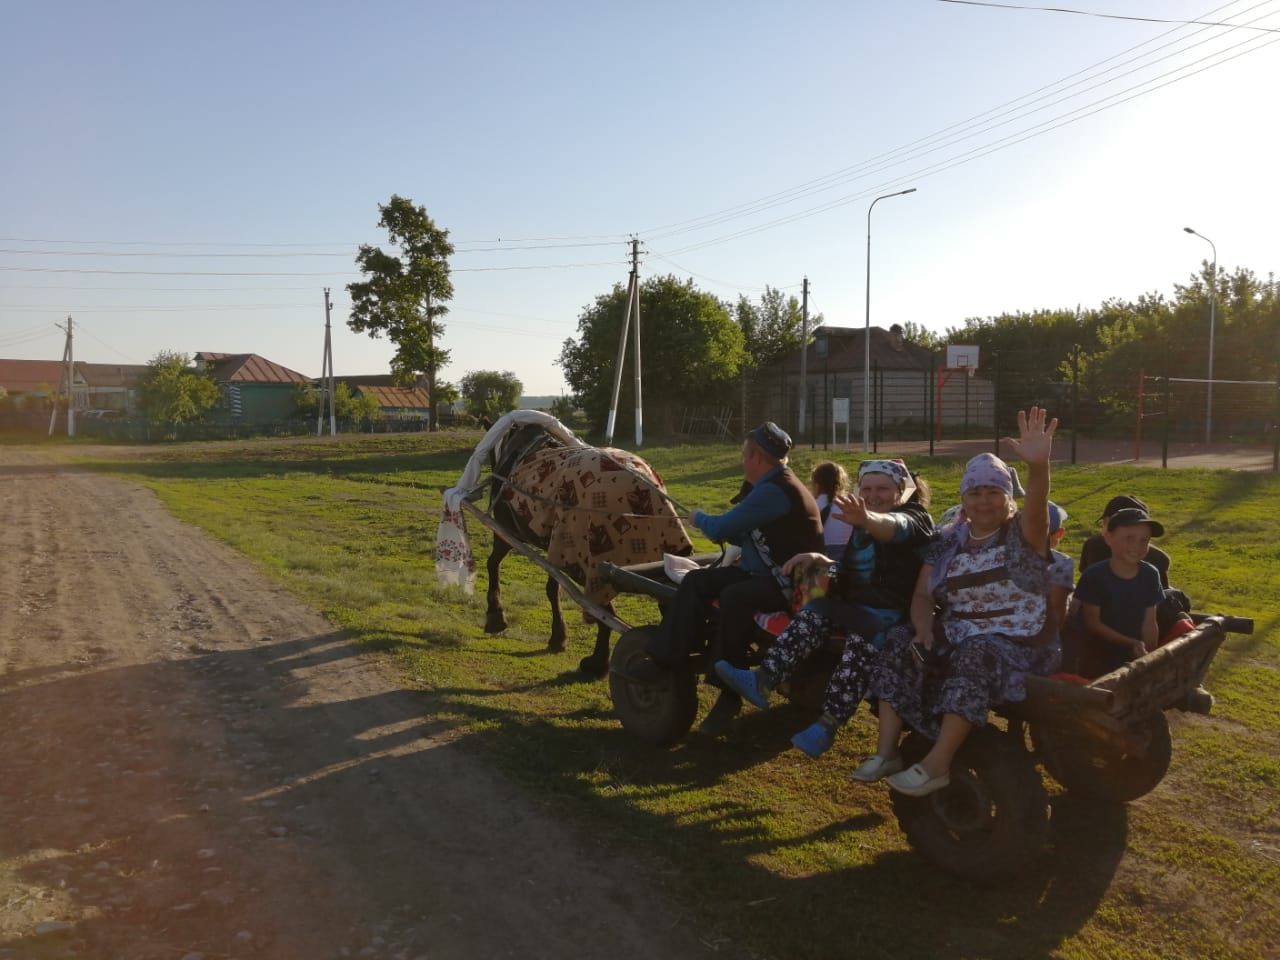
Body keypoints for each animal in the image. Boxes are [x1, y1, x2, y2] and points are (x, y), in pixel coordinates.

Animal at [478, 419, 691, 675]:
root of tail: (644, 484)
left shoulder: (508, 532)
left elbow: (493, 564)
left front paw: (495, 615)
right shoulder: (556, 549)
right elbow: (553, 588)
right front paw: (558, 636)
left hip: (592, 564)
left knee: (603, 609)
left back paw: (598, 661)